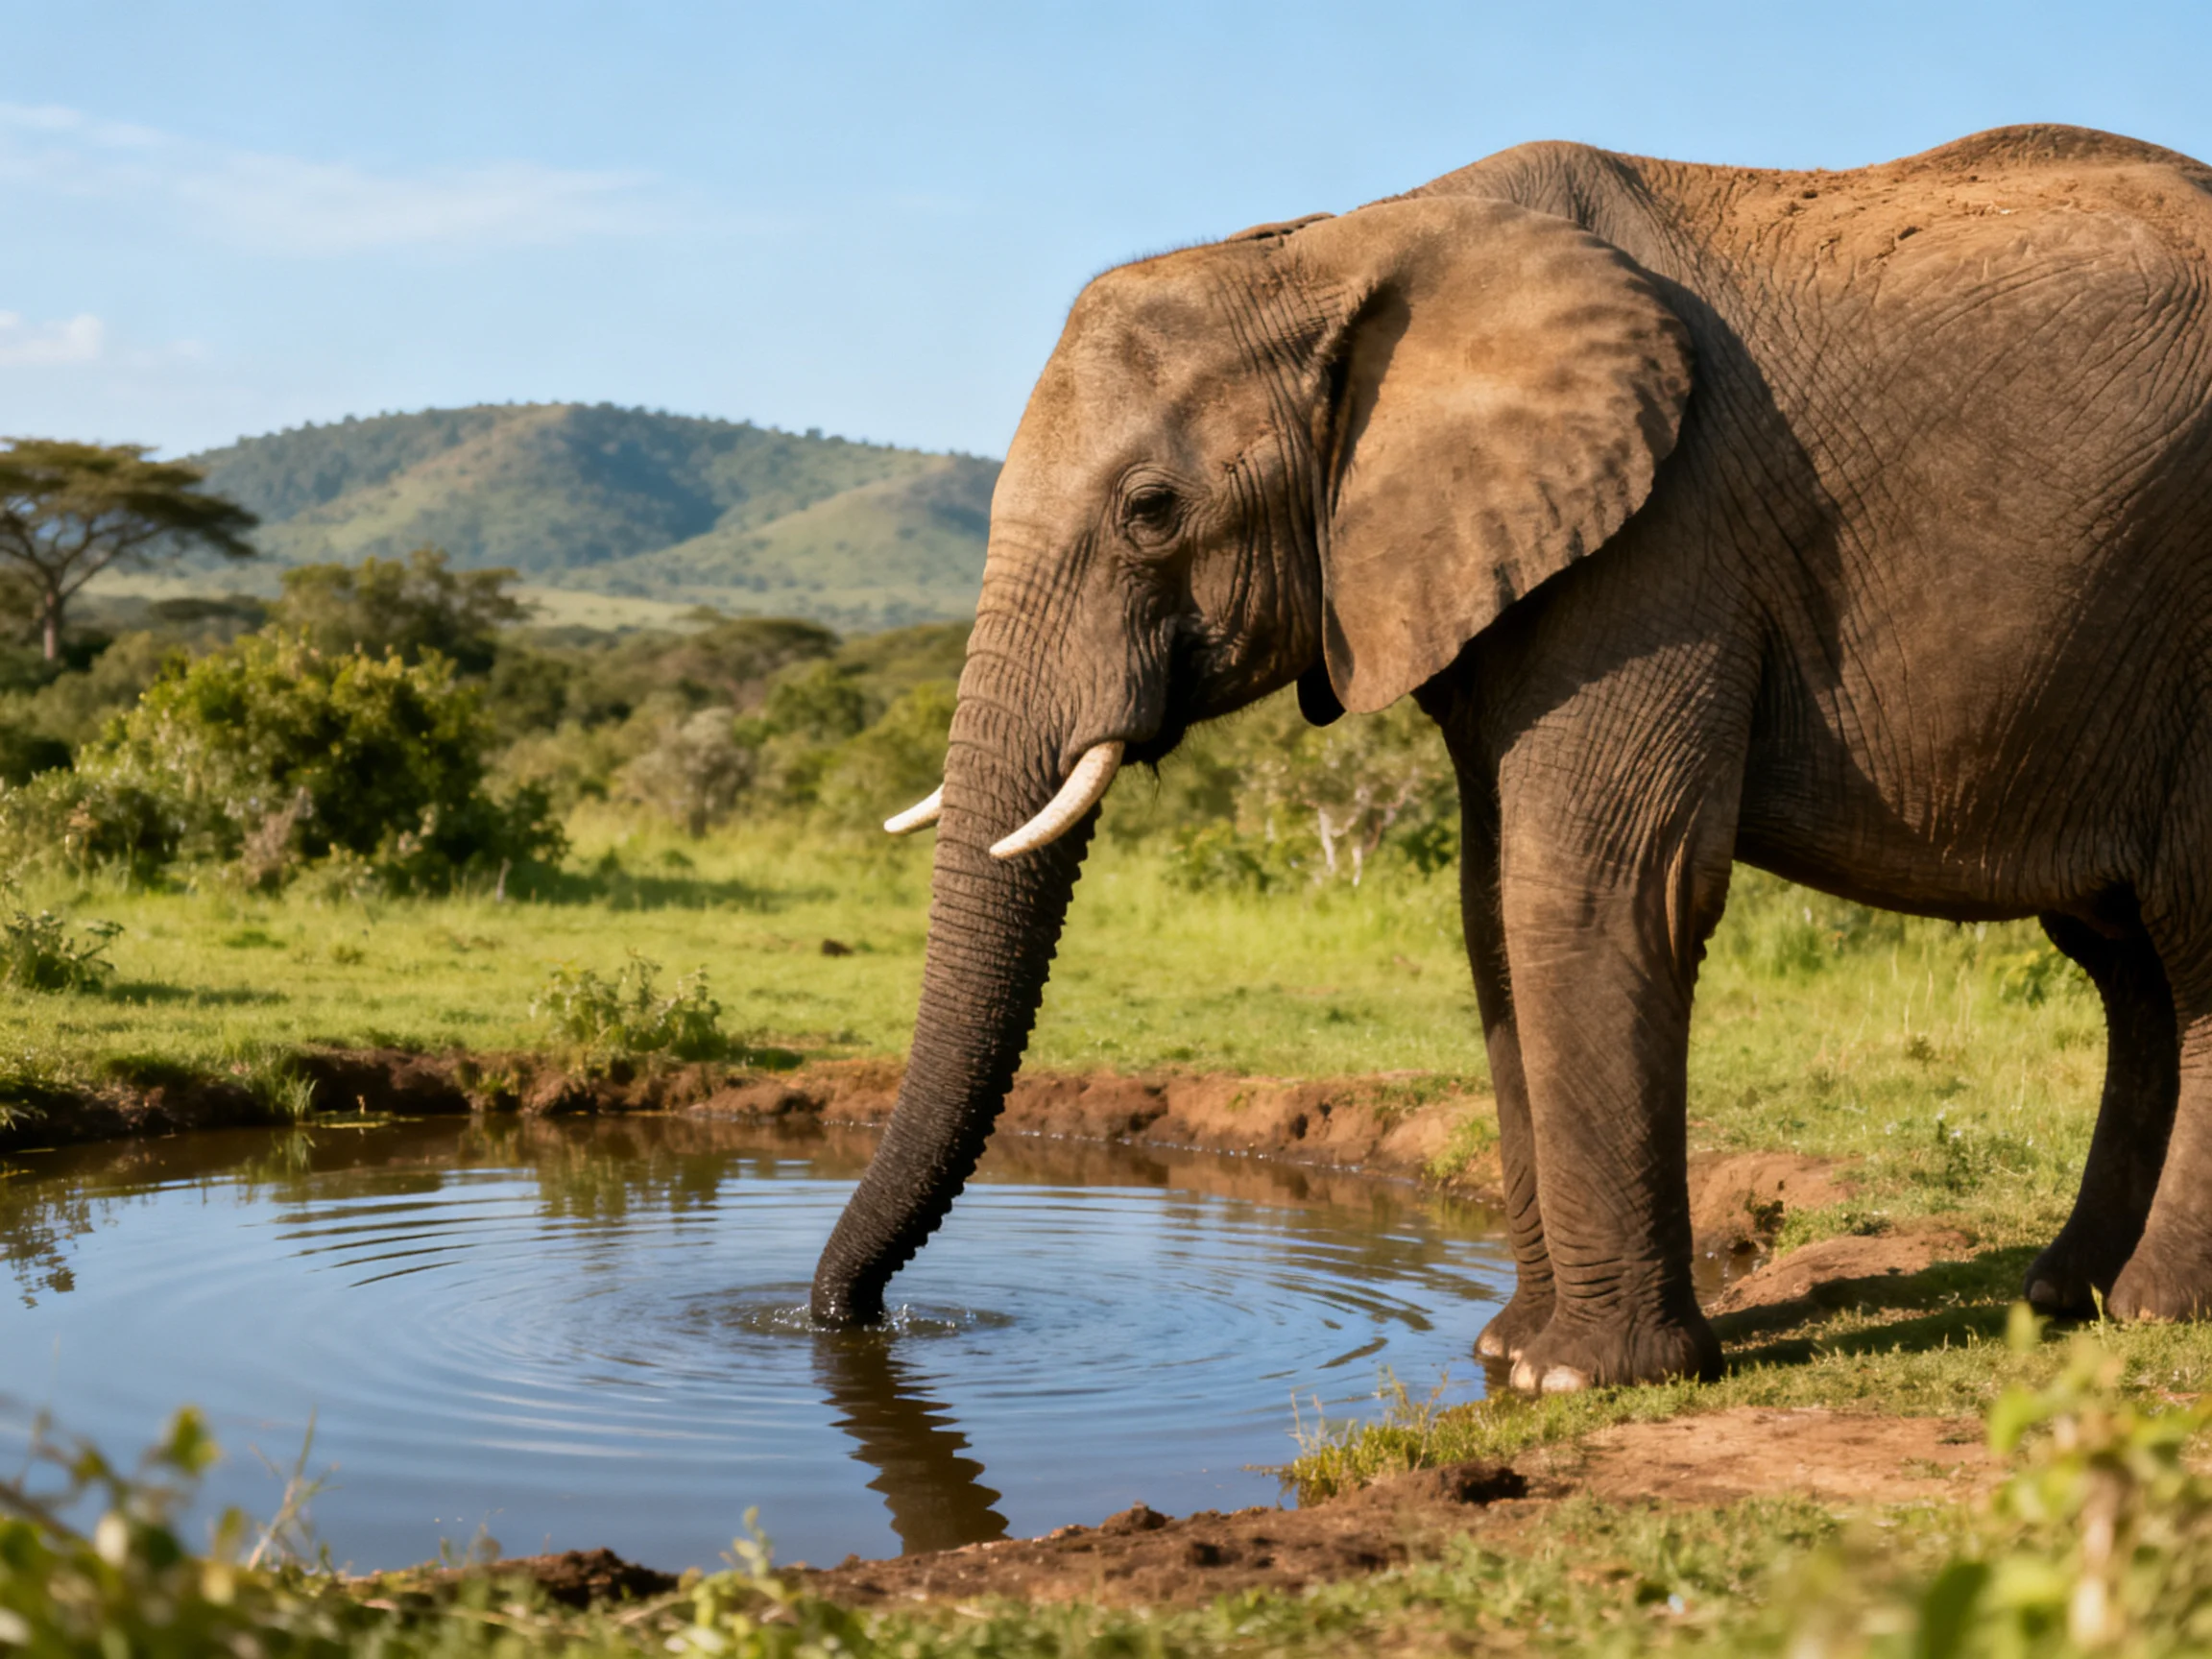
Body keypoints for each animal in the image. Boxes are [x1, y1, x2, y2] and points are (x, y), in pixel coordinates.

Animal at [811, 123, 2212, 1393]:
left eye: (1152, 512)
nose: (846, 1320)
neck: (1343, 246)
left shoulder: (1662, 539)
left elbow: (1589, 886)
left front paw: (1579, 1380)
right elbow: (1492, 912)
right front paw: (1504, 1352)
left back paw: (2150, 1310)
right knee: (2128, 964)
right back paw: (2064, 1296)